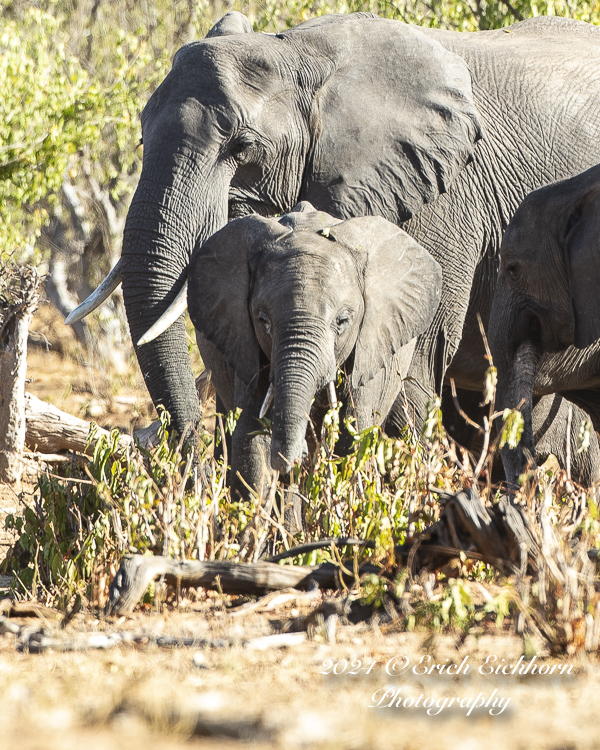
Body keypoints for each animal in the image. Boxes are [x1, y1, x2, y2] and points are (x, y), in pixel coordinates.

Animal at [70, 11, 600, 452]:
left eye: (242, 149)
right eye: (142, 136)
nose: (181, 445)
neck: (300, 54)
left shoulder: (442, 202)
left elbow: (406, 372)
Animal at [139, 201, 440, 500]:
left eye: (343, 321)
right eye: (263, 320)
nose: (298, 455)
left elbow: (353, 435)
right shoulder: (245, 343)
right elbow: (252, 440)